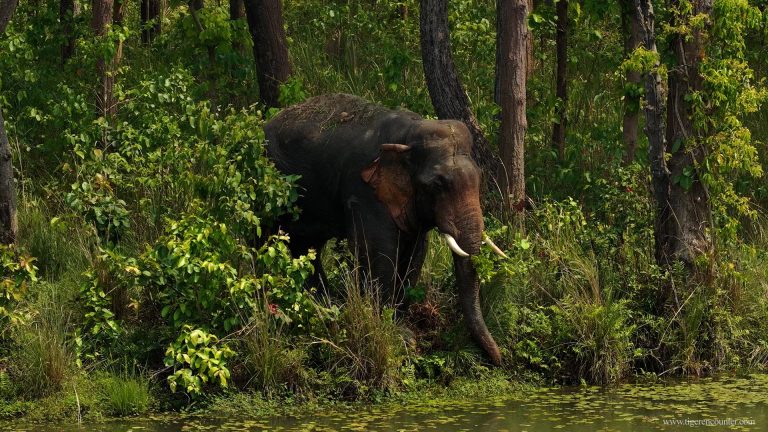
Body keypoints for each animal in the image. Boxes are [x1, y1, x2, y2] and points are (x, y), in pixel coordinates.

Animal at [264, 94, 505, 365]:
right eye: (437, 184)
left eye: (480, 176)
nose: (498, 359)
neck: (408, 133)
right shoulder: (365, 191)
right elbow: (378, 250)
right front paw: (396, 335)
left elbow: (415, 253)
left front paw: (401, 328)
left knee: (306, 247)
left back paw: (323, 306)